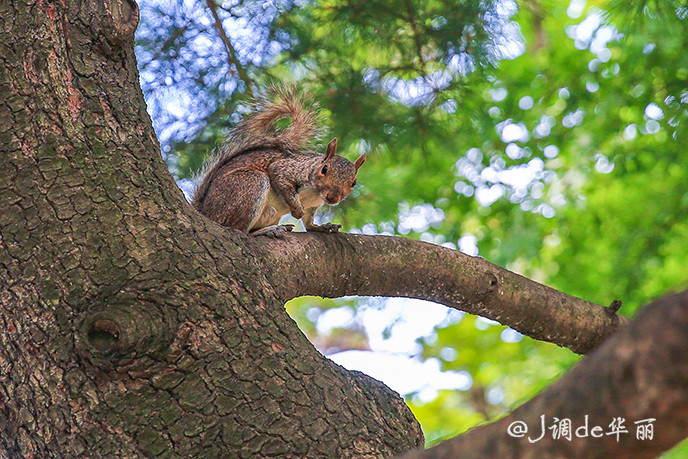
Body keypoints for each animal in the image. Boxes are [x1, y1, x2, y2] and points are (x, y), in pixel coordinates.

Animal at [191, 86, 366, 237]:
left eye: (354, 182)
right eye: (324, 169)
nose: (333, 198)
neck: (315, 193)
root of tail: (206, 212)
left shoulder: (313, 206)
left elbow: (309, 223)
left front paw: (322, 227)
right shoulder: (287, 169)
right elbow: (281, 179)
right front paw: (297, 210)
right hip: (250, 183)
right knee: (240, 230)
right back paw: (265, 231)